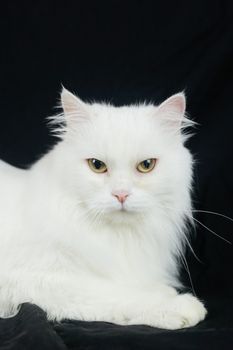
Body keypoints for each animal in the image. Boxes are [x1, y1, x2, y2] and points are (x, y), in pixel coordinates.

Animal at [0, 87, 208, 328]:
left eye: (146, 165)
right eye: (97, 165)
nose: (121, 194)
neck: (118, 237)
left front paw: (164, 291)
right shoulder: (37, 279)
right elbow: (121, 294)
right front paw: (177, 305)